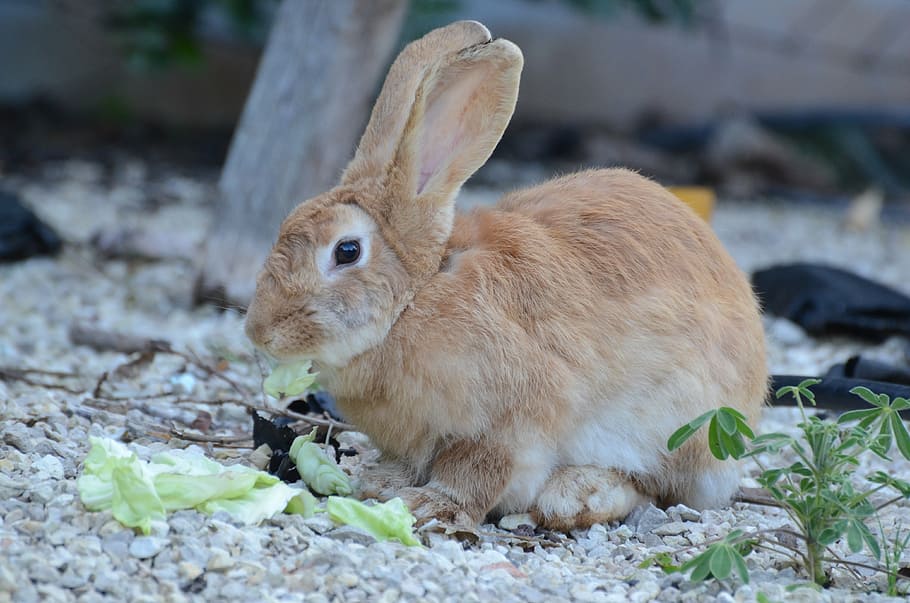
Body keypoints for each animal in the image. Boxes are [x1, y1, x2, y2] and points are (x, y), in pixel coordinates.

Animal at [244, 20, 768, 530]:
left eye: (347, 250)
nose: (259, 331)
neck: (418, 297)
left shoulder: (511, 421)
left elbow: (477, 469)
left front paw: (431, 505)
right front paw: (381, 483)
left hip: (679, 428)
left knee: (653, 487)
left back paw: (575, 497)